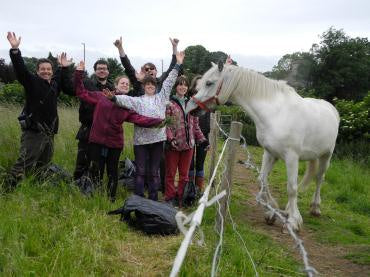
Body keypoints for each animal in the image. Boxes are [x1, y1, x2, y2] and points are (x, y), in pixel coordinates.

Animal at [186, 61, 340, 230]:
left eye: (209, 83)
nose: (190, 108)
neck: (276, 113)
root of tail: (331, 108)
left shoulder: (291, 157)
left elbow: (291, 188)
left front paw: (294, 221)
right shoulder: (270, 153)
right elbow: (262, 181)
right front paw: (273, 212)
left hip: (326, 156)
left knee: (319, 178)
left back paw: (315, 207)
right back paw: (288, 208)